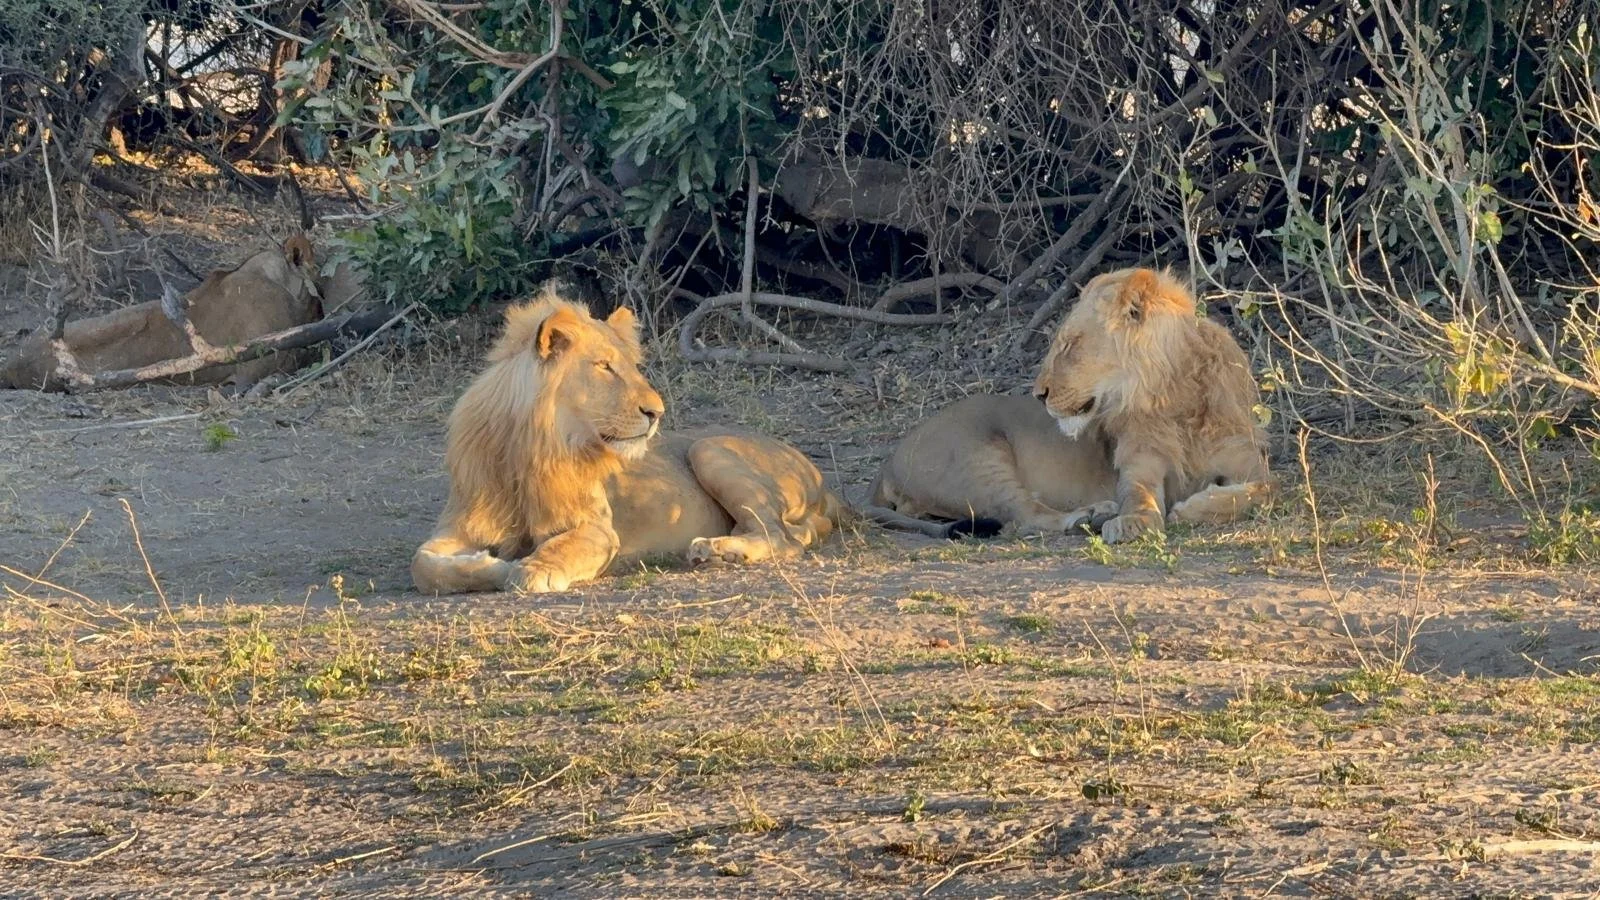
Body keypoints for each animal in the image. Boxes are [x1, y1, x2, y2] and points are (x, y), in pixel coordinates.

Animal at [411, 291, 844, 595]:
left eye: (633, 367)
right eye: (605, 366)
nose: (657, 412)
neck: (534, 448)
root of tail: (820, 478)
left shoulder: (599, 531)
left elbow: (560, 547)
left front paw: (532, 568)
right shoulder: (459, 526)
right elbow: (423, 566)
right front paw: (494, 564)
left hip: (706, 449)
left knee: (785, 538)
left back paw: (717, 550)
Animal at [867, 267, 1272, 543]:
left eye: (1070, 345)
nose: (1039, 393)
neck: (1173, 396)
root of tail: (887, 462)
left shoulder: (1249, 462)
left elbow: (1263, 492)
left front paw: (1193, 508)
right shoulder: (1138, 463)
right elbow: (1138, 494)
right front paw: (1134, 521)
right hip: (975, 459)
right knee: (1024, 515)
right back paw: (1090, 515)